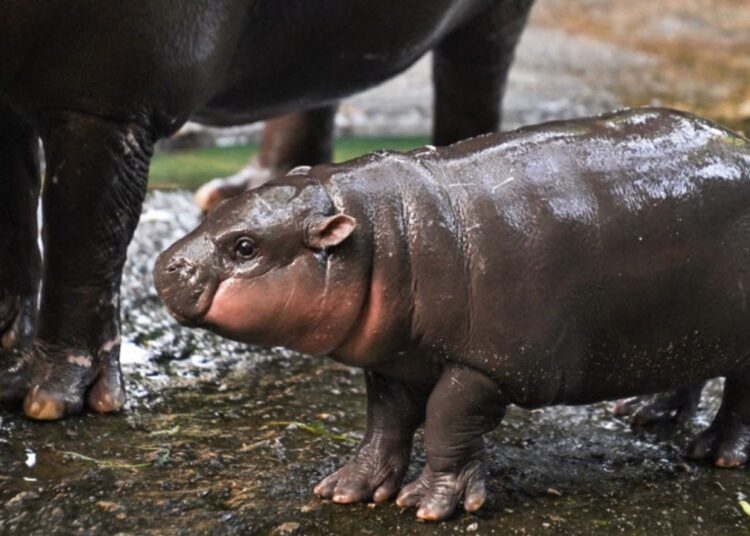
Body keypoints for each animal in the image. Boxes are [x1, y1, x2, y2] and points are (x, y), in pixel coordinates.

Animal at [0, 0, 534, 420]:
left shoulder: (107, 98)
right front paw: (6, 347)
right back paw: (241, 189)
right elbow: (17, 226)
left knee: (473, 79)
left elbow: (83, 237)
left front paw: (49, 400)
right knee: (316, 80)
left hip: (493, 16)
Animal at [154, 107, 750, 520]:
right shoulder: (397, 360)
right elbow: (384, 423)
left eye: (245, 247)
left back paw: (717, 454)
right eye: (221, 207)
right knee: (690, 369)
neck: (386, 237)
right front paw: (346, 489)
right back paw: (644, 414)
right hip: (684, 322)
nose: (165, 264)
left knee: (741, 397)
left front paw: (428, 504)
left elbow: (445, 417)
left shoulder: (489, 366)